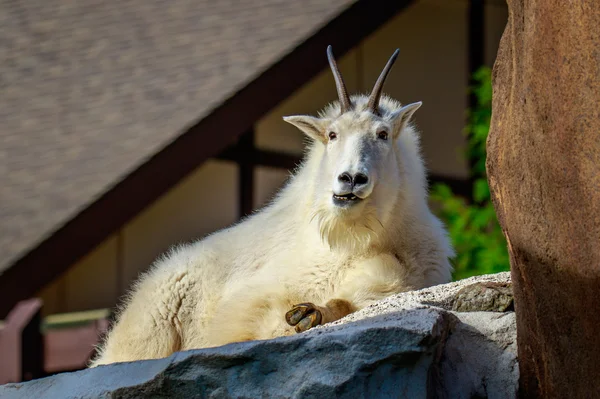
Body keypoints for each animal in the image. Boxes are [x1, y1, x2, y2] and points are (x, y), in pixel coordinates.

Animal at [91, 45, 452, 368]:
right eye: (332, 134)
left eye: (383, 133)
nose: (351, 179)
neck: (357, 238)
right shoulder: (260, 295)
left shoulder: (401, 278)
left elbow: (348, 300)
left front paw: (308, 314)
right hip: (151, 327)